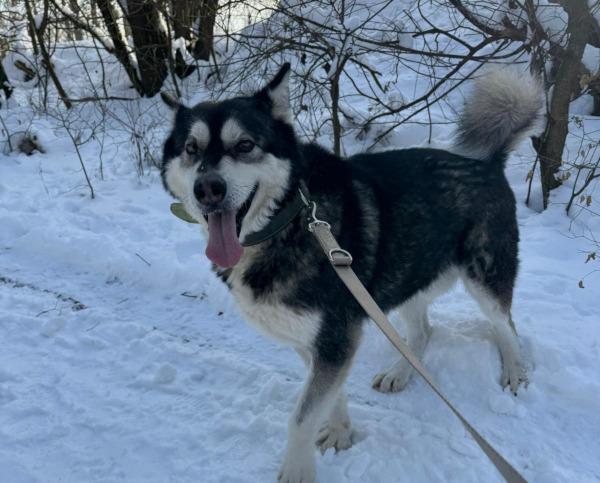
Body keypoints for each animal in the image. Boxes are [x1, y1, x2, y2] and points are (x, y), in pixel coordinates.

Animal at [160, 63, 542, 483]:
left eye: (244, 145)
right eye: (191, 149)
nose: (208, 189)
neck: (290, 221)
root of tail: (488, 162)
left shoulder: (335, 338)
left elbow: (301, 418)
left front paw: (296, 470)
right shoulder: (316, 343)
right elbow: (329, 398)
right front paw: (341, 433)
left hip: (484, 276)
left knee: (505, 324)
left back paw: (515, 371)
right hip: (404, 277)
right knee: (424, 332)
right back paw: (399, 372)